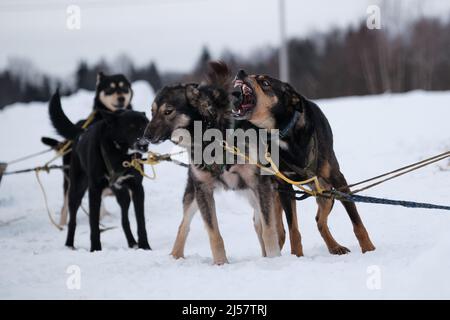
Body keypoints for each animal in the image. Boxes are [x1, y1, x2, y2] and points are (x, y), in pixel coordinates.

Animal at [41, 72, 134, 225]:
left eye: (124, 87)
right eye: (110, 88)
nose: (121, 97)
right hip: (71, 179)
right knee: (65, 206)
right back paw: (63, 225)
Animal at [144, 63, 284, 264]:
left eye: (168, 111)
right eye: (152, 112)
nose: (145, 136)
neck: (212, 134)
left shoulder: (260, 184)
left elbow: (269, 230)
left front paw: (274, 259)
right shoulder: (203, 189)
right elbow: (214, 234)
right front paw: (220, 264)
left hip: (256, 194)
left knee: (259, 224)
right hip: (194, 193)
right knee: (184, 224)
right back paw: (175, 256)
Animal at [230, 69, 374, 255]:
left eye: (265, 83)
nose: (241, 71)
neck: (285, 133)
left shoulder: (337, 179)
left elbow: (356, 221)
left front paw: (368, 248)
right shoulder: (285, 188)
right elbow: (293, 229)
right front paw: (297, 255)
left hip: (326, 192)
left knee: (320, 221)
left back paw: (334, 246)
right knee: (280, 227)